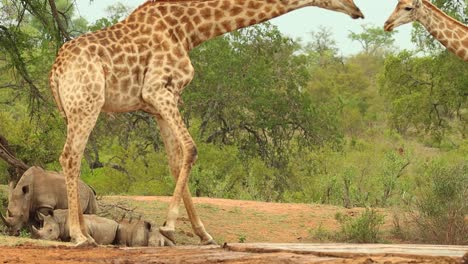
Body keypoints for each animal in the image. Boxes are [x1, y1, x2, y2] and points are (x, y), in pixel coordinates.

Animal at [50, 0, 366, 248]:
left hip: (73, 110)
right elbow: (191, 150)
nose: (358, 11)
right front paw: (170, 226)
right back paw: (79, 235)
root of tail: (55, 71)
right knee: (70, 156)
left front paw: (203, 234)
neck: (188, 31)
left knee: (72, 158)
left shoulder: (156, 105)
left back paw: (87, 233)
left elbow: (175, 161)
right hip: (87, 104)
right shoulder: (158, 90)